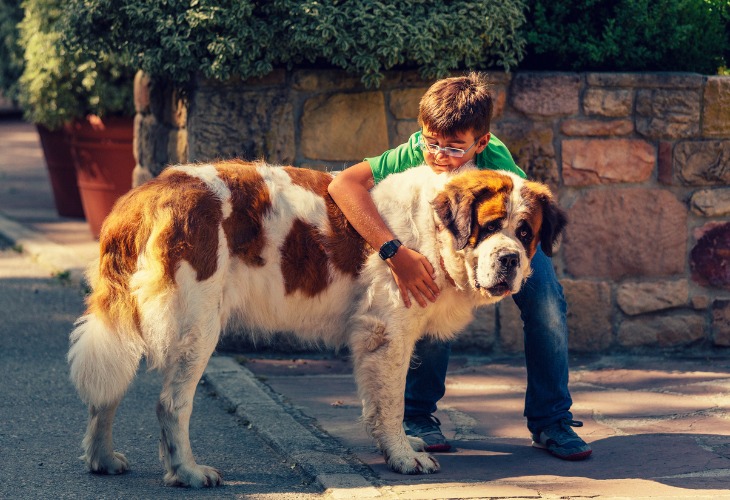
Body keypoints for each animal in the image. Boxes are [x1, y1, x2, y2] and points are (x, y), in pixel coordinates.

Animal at [67, 161, 564, 488]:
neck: (433, 231)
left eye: (525, 233)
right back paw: (187, 472)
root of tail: (148, 194)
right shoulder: (388, 331)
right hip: (197, 325)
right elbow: (393, 402)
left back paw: (103, 459)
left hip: (132, 317)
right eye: (490, 226)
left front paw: (400, 445)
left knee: (107, 390)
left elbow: (379, 403)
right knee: (172, 403)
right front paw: (404, 458)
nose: (510, 259)